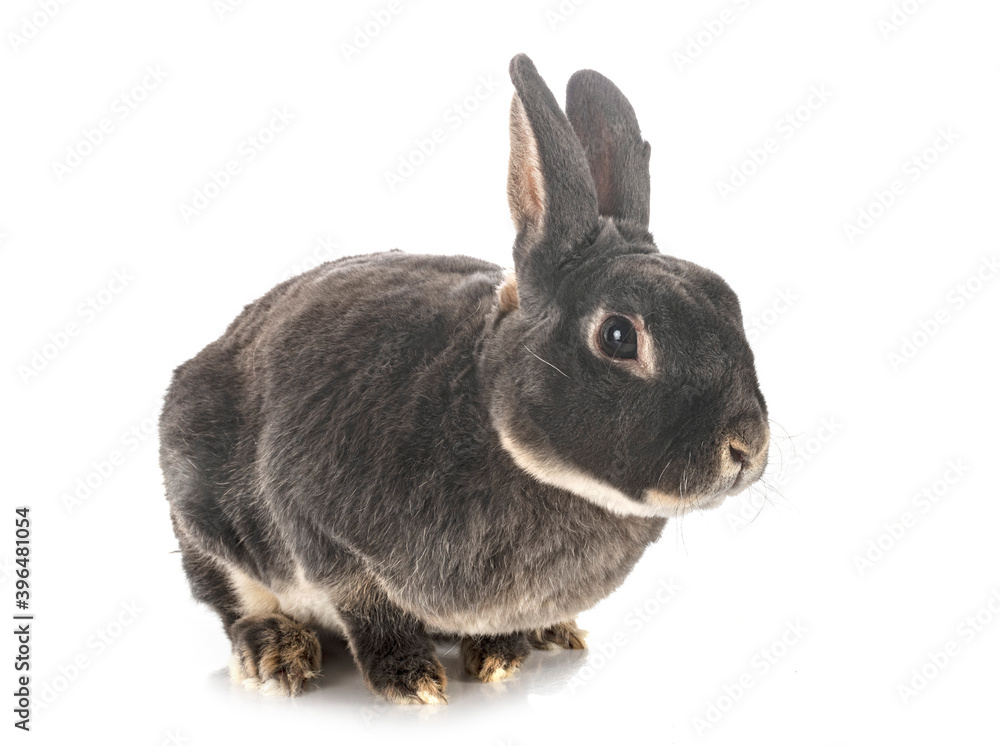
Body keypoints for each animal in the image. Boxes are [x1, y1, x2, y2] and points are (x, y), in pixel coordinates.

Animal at [159, 53, 769, 704]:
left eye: (729, 301)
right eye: (618, 337)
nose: (746, 448)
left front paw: (500, 656)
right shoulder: (318, 527)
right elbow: (367, 607)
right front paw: (412, 680)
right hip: (205, 520)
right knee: (235, 603)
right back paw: (276, 652)